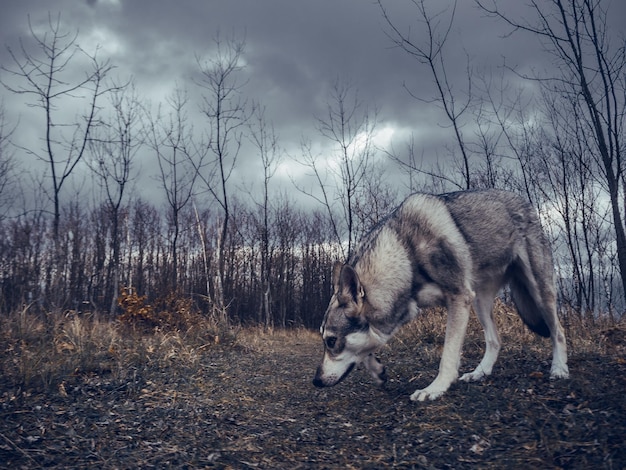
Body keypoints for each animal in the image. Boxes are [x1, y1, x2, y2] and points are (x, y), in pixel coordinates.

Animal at [310, 189, 568, 402]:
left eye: (331, 341)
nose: (316, 381)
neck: (406, 255)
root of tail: (524, 201)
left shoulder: (458, 299)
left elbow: (448, 355)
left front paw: (434, 389)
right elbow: (366, 350)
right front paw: (377, 370)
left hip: (538, 292)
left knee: (558, 331)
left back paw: (559, 369)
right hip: (479, 301)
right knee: (495, 340)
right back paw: (479, 373)